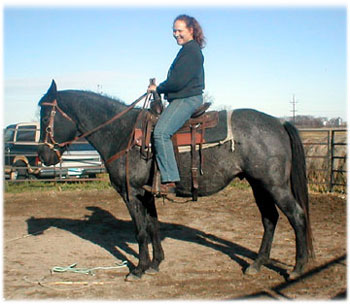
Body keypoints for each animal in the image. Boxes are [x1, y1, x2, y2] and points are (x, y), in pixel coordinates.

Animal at [38, 80, 314, 280]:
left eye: (44, 115)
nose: (43, 156)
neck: (123, 134)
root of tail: (279, 122)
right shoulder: (147, 194)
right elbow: (153, 227)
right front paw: (155, 264)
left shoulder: (131, 194)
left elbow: (140, 231)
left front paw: (138, 269)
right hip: (259, 185)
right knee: (270, 219)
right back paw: (256, 264)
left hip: (274, 186)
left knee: (297, 216)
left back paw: (297, 268)